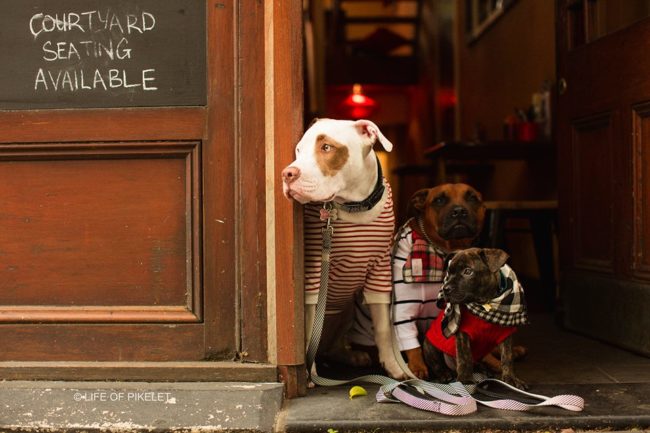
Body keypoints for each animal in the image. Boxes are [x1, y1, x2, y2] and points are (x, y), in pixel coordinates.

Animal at [280, 117, 402, 378]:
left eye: (326, 147)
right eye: (299, 150)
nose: (287, 173)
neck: (353, 206)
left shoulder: (380, 270)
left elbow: (383, 328)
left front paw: (394, 368)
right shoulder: (314, 275)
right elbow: (309, 329)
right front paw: (310, 374)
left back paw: (350, 355)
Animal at [422, 248, 528, 390]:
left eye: (468, 271)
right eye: (448, 272)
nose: (445, 289)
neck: (485, 304)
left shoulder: (507, 334)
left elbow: (507, 357)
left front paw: (511, 378)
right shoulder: (462, 333)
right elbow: (464, 357)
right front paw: (465, 380)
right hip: (430, 344)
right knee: (437, 364)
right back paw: (446, 374)